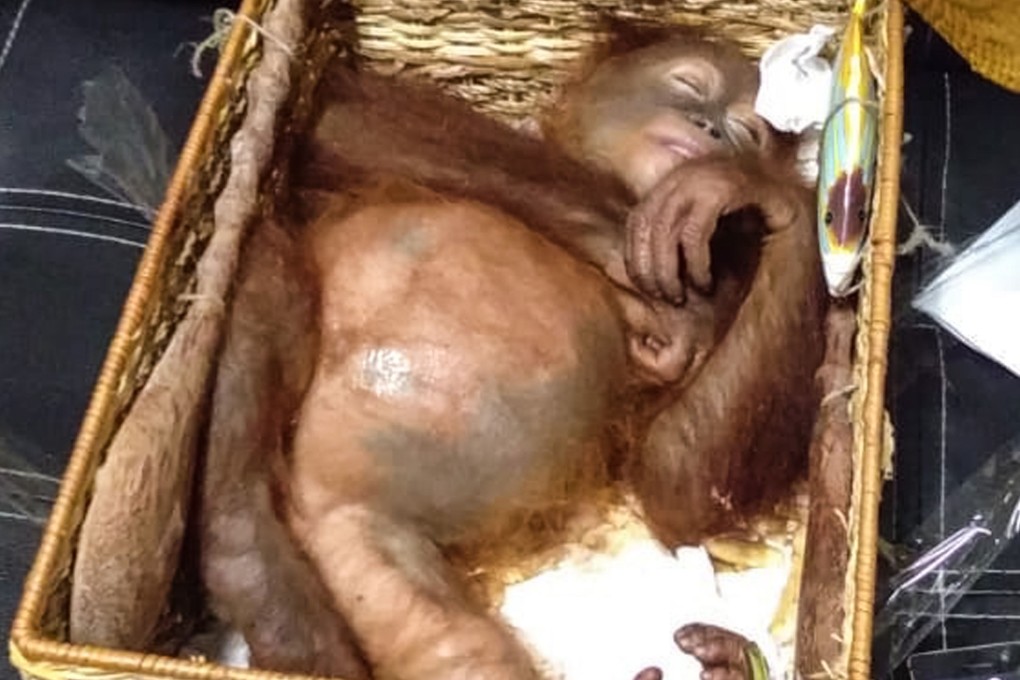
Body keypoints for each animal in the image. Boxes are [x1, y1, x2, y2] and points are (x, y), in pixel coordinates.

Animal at [198, 21, 826, 680]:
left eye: (747, 133)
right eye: (688, 85)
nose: (711, 131)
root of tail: (313, 502)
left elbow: (677, 486)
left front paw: (750, 189)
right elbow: (331, 115)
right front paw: (636, 247)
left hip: (370, 553)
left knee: (462, 651)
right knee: (265, 260)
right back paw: (250, 556)